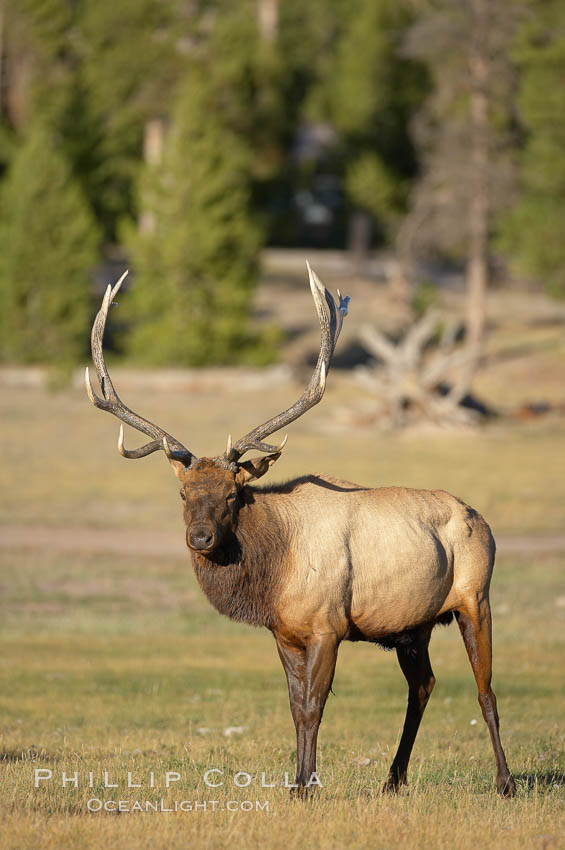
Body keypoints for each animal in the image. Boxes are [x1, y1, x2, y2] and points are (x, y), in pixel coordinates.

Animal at [86, 264, 512, 796]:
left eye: (234, 493)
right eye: (183, 495)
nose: (201, 538)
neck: (274, 572)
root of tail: (484, 520)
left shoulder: (328, 626)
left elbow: (313, 706)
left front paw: (306, 786)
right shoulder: (285, 633)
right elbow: (294, 707)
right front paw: (298, 781)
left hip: (476, 597)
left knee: (485, 689)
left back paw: (505, 781)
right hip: (413, 626)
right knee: (423, 685)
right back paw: (393, 779)